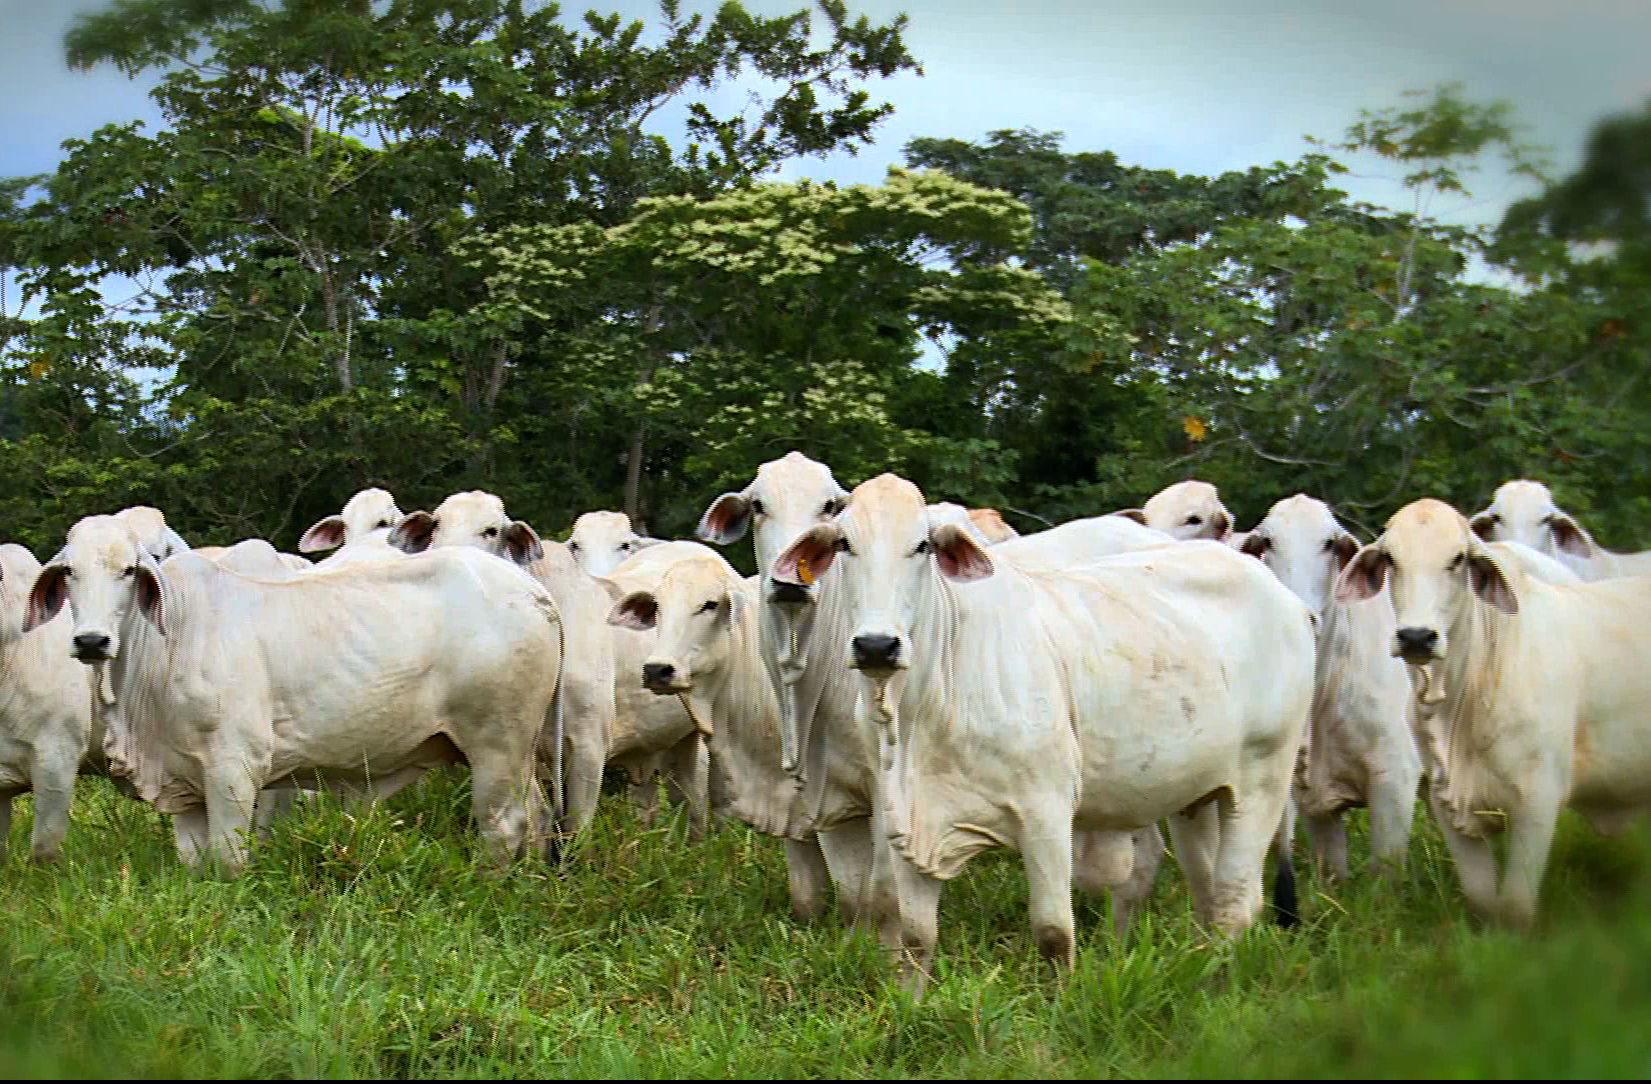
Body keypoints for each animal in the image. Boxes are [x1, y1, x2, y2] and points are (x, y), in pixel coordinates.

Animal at [25, 511, 561, 877]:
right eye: (70, 571)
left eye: (129, 570)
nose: (91, 641)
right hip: (518, 752)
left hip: (495, 744)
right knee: (538, 814)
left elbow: (229, 859)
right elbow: (195, 863)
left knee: (505, 824)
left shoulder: (234, 768)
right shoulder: (182, 783)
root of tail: (532, 590)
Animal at [766, 471, 1307, 989]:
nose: (877, 646)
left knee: (1235, 903)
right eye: (844, 544)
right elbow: (916, 940)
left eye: (922, 545)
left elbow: (1053, 935)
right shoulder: (905, 820)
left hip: (1262, 780)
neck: (926, 706)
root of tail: (1286, 598)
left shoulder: (1046, 814)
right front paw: (908, 1006)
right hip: (1197, 794)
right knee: (1207, 890)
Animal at [1334, 498, 1651, 930]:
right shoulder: (1446, 805)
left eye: (1457, 559)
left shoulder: (1537, 802)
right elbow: (1482, 901)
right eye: (1391, 559)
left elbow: (1516, 909)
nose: (1416, 637)